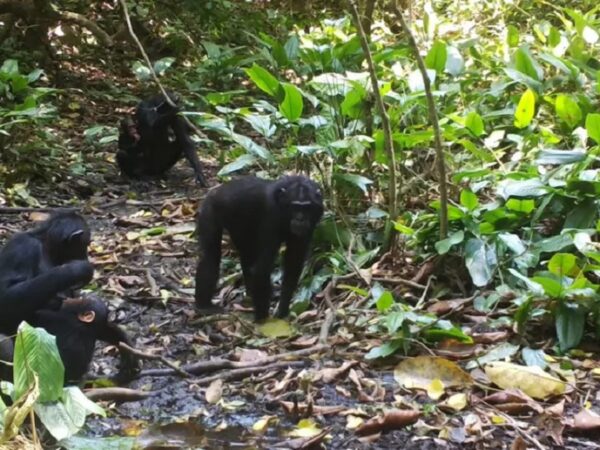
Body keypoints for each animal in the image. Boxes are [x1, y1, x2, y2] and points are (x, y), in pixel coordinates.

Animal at [195, 175, 324, 320]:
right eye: (295, 207)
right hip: (209, 210)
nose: (300, 218)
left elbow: (293, 262)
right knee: (210, 257)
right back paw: (204, 306)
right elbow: (262, 268)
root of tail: (215, 190)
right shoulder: (271, 216)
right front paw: (264, 321)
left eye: (306, 207)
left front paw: (282, 310)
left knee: (246, 254)